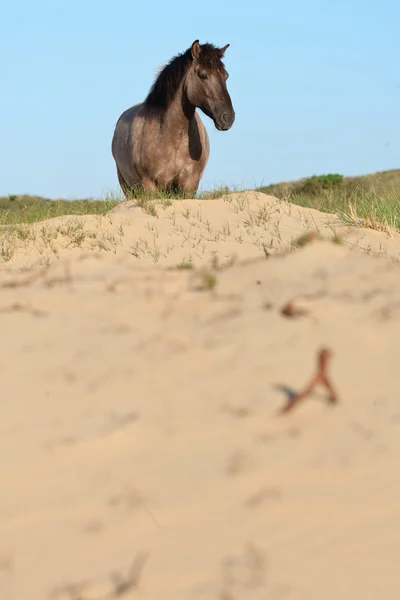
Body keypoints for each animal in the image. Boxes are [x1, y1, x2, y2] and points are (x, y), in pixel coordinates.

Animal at [110, 40, 234, 199]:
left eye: (226, 76)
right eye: (203, 75)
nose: (228, 117)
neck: (172, 138)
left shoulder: (189, 186)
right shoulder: (149, 186)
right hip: (129, 188)